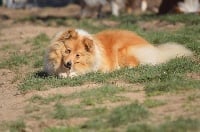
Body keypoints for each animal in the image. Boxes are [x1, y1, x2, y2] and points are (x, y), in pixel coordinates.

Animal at [44, 27, 192, 77]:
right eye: (67, 51)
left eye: (77, 55)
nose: (69, 64)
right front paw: (64, 73)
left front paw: (72, 74)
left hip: (123, 51)